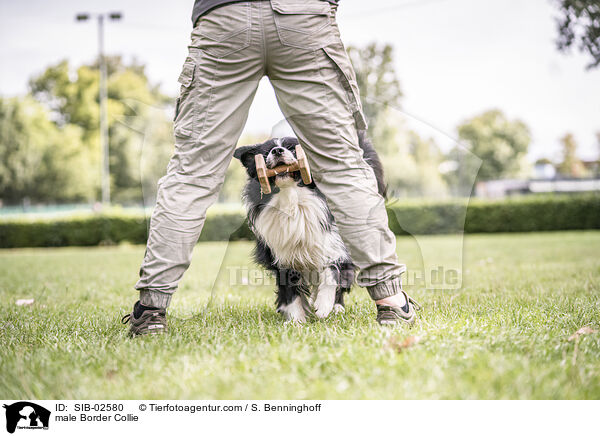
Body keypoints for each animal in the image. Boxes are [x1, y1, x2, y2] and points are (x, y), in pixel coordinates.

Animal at [232, 135, 386, 322]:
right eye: (267, 152)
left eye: (292, 148)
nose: (277, 151)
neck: (291, 200)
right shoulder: (282, 257)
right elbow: (290, 291)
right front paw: (296, 320)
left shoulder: (334, 243)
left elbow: (332, 272)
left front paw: (323, 306)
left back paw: (336, 307)